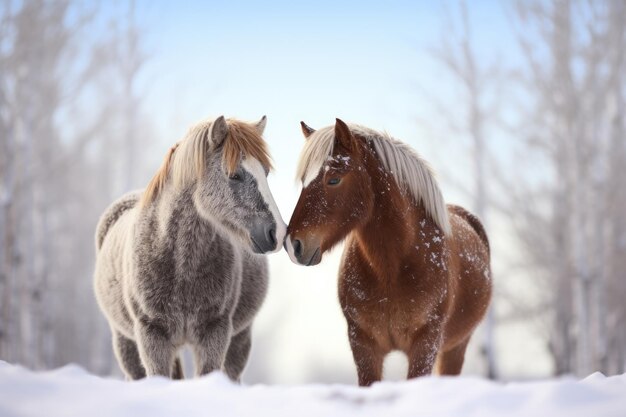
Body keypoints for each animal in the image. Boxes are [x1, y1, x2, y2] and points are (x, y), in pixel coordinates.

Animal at [93, 114, 286, 380]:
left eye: (265, 173)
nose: (277, 233)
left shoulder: (215, 333)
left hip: (239, 339)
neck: (180, 265)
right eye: (234, 175)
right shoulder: (151, 336)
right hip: (125, 342)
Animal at [284, 118, 492, 386]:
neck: (390, 270)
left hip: (455, 348)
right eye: (303, 181)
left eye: (334, 179)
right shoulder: (363, 344)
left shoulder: (426, 343)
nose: (293, 245)